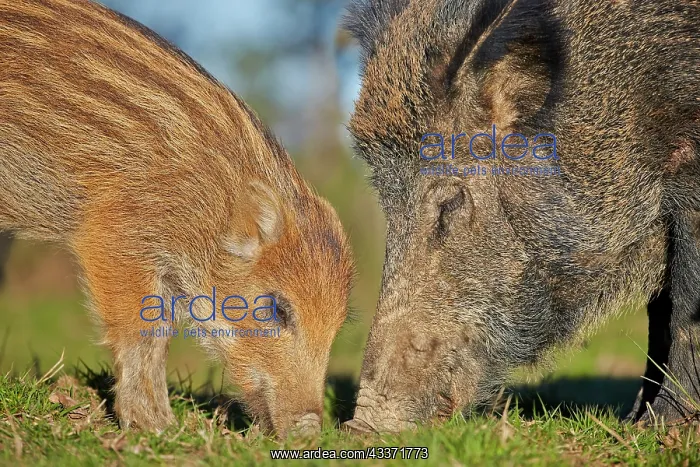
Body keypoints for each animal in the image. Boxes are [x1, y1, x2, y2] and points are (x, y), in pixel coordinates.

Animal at [0, 0, 354, 438]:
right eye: (277, 309)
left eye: (338, 325)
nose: (309, 433)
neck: (207, 204)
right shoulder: (113, 235)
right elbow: (145, 333)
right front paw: (156, 427)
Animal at [343, 0, 699, 433]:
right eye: (385, 199)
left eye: (451, 201)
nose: (359, 428)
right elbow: (659, 315)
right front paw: (631, 422)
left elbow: (683, 308)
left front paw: (659, 427)